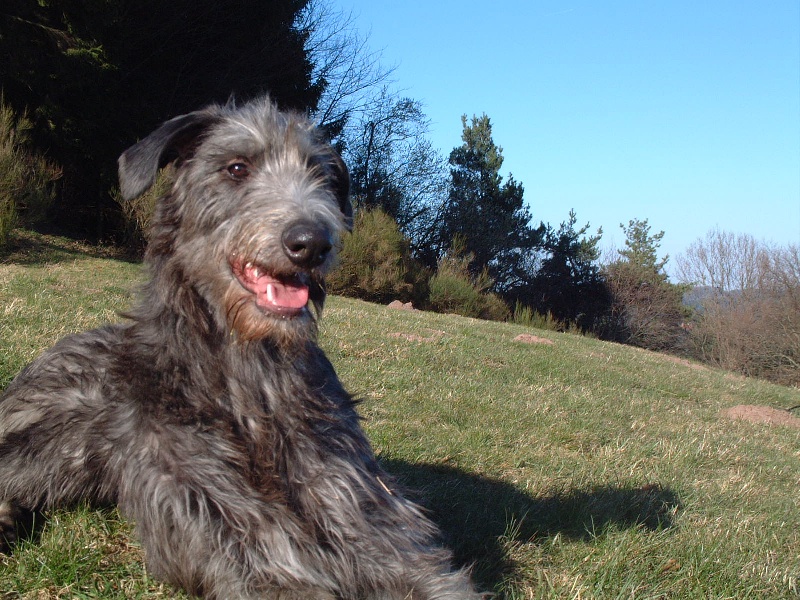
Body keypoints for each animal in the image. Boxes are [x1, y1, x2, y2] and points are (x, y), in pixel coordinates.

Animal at [0, 97, 481, 599]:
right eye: (236, 168)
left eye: (321, 175)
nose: (312, 242)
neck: (253, 388)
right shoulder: (242, 539)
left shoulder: (366, 517)